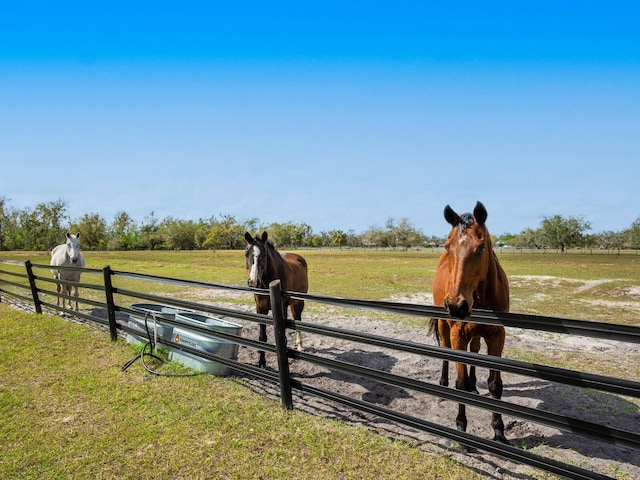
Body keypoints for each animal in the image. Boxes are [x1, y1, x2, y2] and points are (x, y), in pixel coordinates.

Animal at [244, 232, 308, 368]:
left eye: (263, 254)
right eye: (246, 253)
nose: (253, 282)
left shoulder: (281, 308)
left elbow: (283, 337)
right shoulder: (260, 309)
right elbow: (262, 337)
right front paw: (261, 362)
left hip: (299, 302)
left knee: (297, 319)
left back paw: (300, 345)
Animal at [428, 201, 512, 444]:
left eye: (481, 247)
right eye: (447, 246)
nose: (457, 305)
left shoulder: (497, 336)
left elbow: (495, 385)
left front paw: (499, 431)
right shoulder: (458, 335)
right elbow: (460, 383)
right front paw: (461, 427)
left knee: (474, 352)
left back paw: (475, 387)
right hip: (444, 326)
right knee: (444, 349)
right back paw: (443, 385)